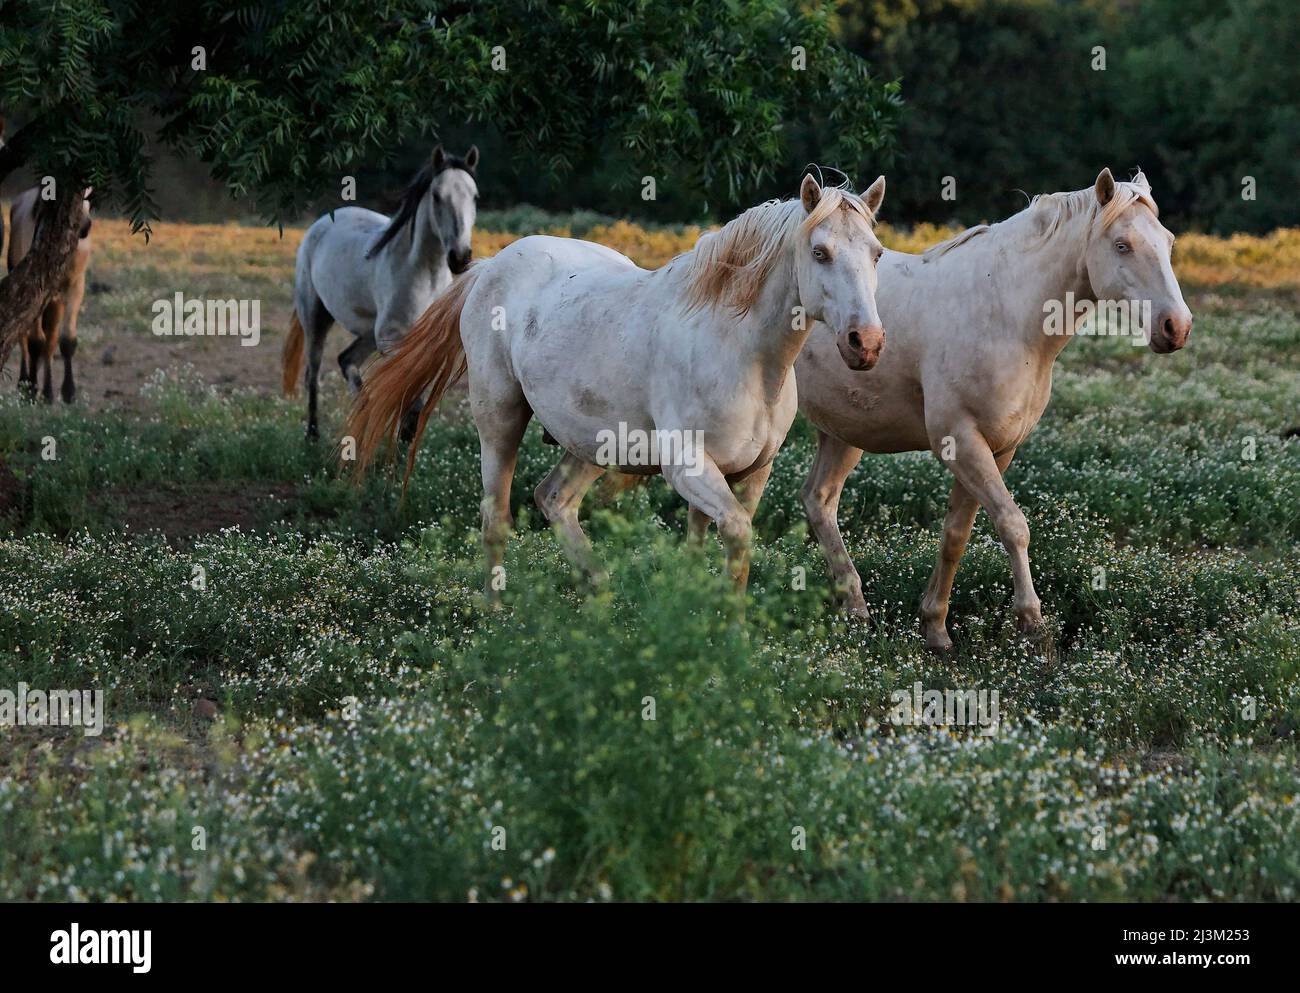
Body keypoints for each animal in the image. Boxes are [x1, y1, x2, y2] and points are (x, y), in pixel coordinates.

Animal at [6, 186, 93, 403]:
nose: (85, 226)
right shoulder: (33, 290)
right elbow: (35, 341)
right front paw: (30, 389)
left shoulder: (75, 286)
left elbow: (66, 341)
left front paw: (68, 392)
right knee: (24, 337)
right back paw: (24, 383)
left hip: (55, 302)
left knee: (51, 339)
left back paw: (47, 392)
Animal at [282, 144, 479, 439]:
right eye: (436, 196)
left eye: (474, 197)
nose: (460, 257)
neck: (424, 274)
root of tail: (322, 223)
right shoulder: (392, 340)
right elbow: (408, 403)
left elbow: (415, 408)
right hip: (316, 318)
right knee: (313, 373)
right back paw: (313, 435)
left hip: (367, 334)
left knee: (346, 361)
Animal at [345, 172, 888, 601]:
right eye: (819, 252)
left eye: (877, 254)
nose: (866, 342)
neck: (742, 352)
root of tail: (488, 268)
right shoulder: (689, 467)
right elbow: (736, 535)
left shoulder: (752, 473)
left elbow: (710, 544)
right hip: (499, 421)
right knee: (495, 518)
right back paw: (498, 616)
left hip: (591, 443)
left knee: (554, 500)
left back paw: (600, 596)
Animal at [794, 168, 1192, 651]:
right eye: (1122, 245)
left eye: (1168, 241)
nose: (1176, 327)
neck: (1006, 313)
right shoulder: (961, 441)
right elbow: (1013, 525)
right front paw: (1033, 626)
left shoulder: (997, 448)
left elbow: (956, 534)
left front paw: (935, 628)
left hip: (844, 431)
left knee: (819, 500)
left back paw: (855, 610)